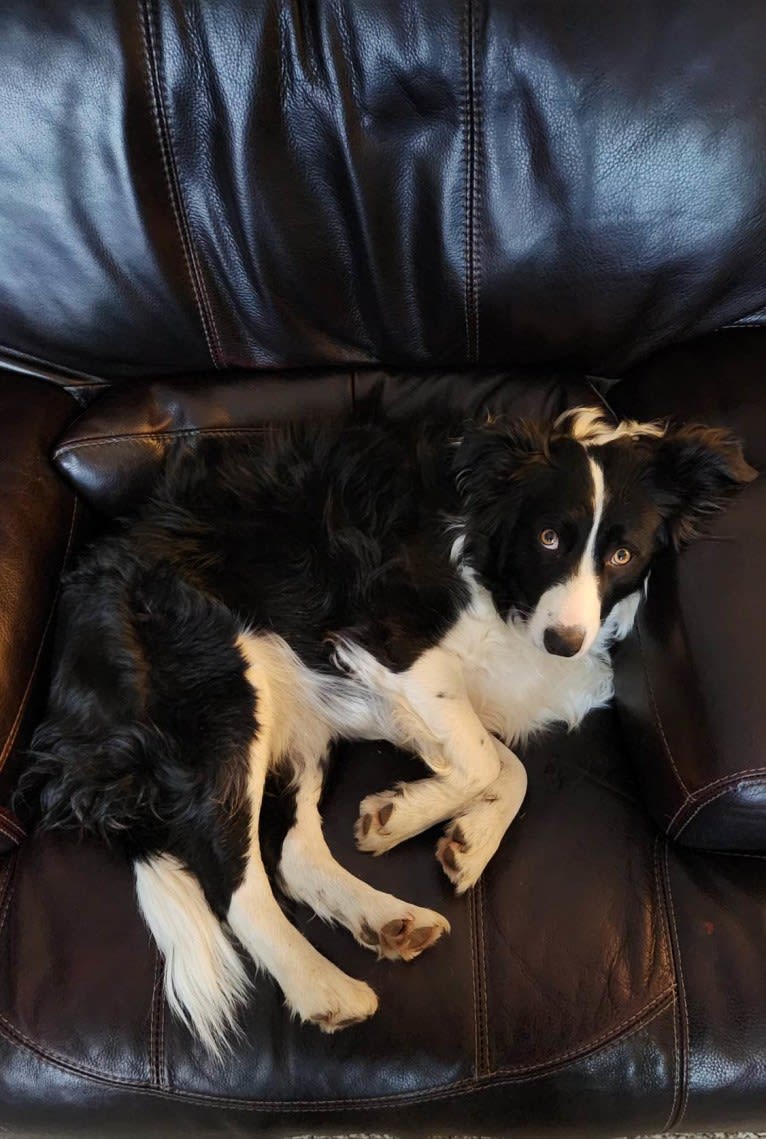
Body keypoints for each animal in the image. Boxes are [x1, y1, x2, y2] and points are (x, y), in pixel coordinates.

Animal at [13, 405, 751, 1052]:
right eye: (548, 539)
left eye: (623, 555)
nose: (564, 642)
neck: (497, 571)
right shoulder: (389, 640)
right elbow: (486, 760)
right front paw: (411, 819)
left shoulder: (375, 687)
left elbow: (502, 765)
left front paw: (450, 833)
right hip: (225, 682)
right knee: (233, 877)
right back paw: (323, 986)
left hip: (293, 712)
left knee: (292, 853)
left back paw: (385, 919)